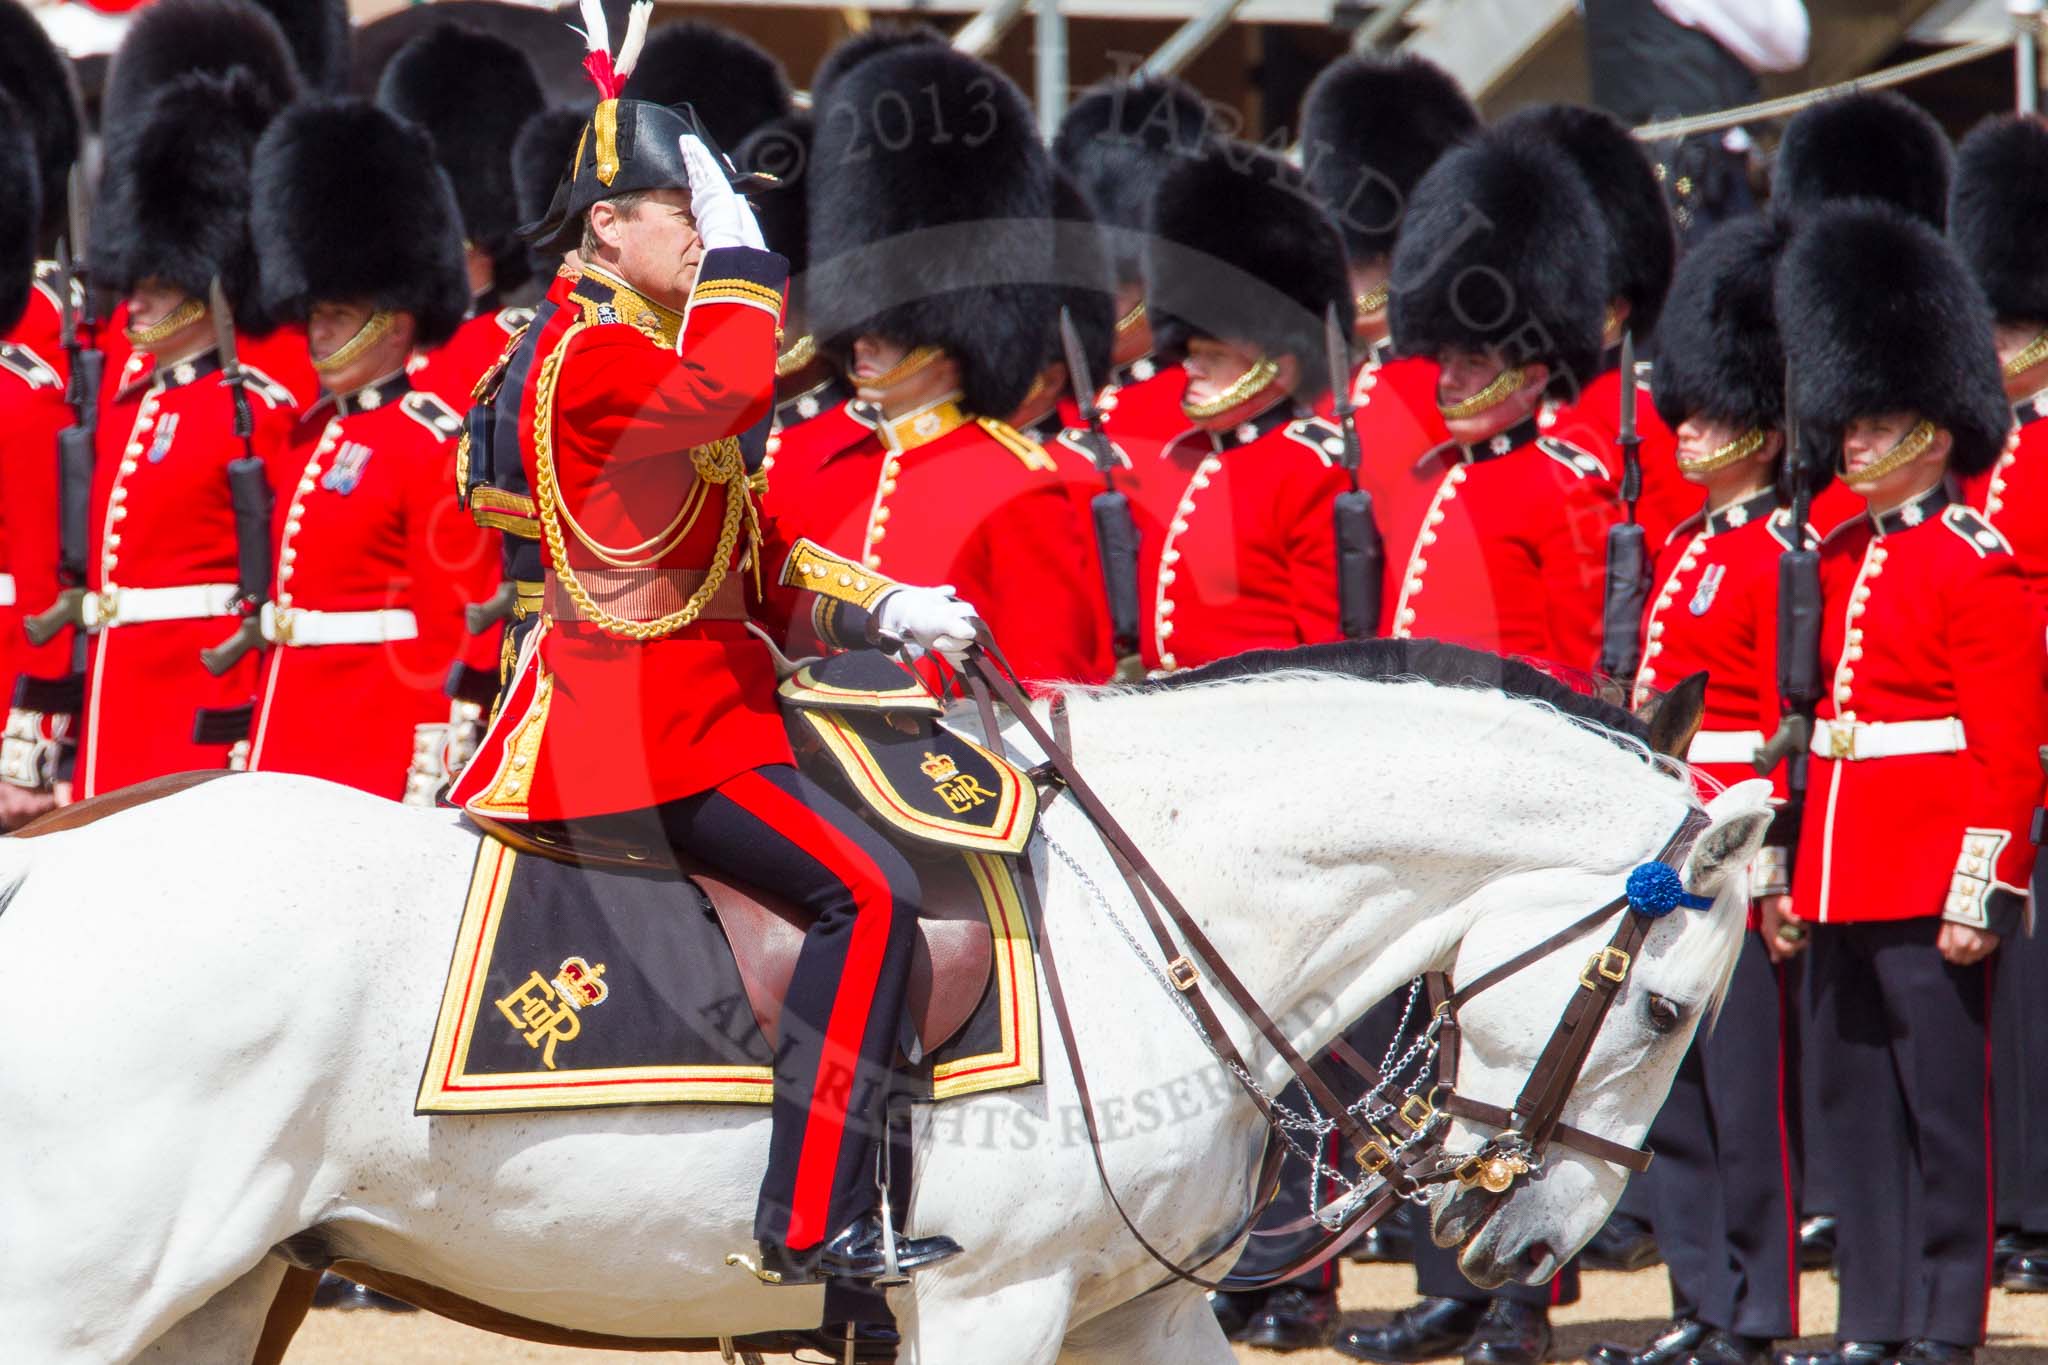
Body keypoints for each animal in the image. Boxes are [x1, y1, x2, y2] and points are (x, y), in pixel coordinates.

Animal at [0, 646, 1769, 1358]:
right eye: (1667, 1014)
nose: (1525, 1241)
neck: (1144, 918)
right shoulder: (989, 1305)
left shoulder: (1133, 1317)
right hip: (78, 1301)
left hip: (216, 1293)